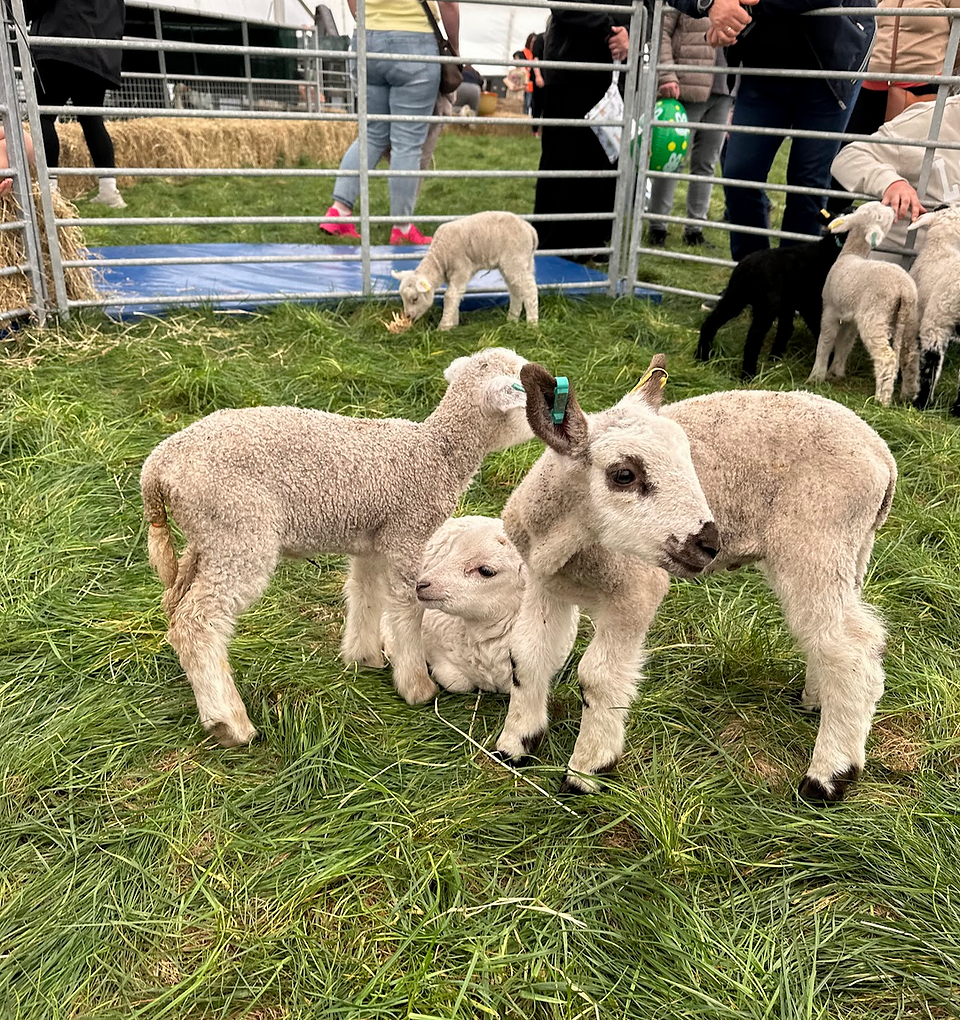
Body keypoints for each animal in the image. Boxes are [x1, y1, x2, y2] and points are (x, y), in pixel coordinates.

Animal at [391, 210, 539, 331]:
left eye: (415, 299)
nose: (408, 316)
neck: (440, 257)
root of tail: (529, 229)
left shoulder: (461, 269)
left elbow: (450, 296)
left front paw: (443, 327)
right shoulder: (453, 276)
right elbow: (455, 296)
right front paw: (454, 323)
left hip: (515, 259)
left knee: (529, 289)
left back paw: (532, 324)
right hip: (523, 262)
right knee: (516, 290)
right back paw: (512, 319)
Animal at [497, 360, 896, 803]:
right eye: (624, 475)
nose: (710, 543)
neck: (566, 542)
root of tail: (882, 456)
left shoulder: (635, 592)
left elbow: (598, 677)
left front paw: (587, 771)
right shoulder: (544, 583)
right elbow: (526, 655)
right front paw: (515, 744)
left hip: (817, 542)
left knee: (851, 649)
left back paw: (828, 777)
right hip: (852, 548)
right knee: (834, 639)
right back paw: (816, 700)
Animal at [697, 208, 844, 379]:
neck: (829, 250)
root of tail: (747, 268)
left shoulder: (795, 302)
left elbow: (789, 328)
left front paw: (775, 357)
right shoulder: (812, 302)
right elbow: (820, 330)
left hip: (735, 297)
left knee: (711, 322)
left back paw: (701, 358)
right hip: (767, 303)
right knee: (754, 336)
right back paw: (748, 375)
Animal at [807, 201, 920, 406]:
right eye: (880, 215)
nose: (893, 208)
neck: (851, 253)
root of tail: (903, 289)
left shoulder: (830, 310)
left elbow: (825, 341)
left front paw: (816, 376)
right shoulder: (851, 319)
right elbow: (845, 343)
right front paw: (835, 372)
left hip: (875, 316)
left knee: (887, 358)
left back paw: (882, 400)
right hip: (909, 318)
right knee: (911, 356)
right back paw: (909, 394)